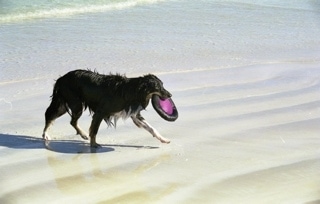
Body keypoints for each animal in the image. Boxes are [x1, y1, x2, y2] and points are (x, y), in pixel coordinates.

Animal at [41, 69, 176, 147]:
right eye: (157, 87)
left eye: (162, 85)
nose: (170, 95)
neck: (132, 90)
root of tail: (61, 78)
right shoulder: (100, 112)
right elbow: (94, 130)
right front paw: (94, 145)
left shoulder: (134, 115)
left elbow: (151, 128)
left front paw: (164, 139)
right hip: (74, 103)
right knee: (54, 116)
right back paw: (47, 134)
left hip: (66, 104)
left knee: (63, 118)